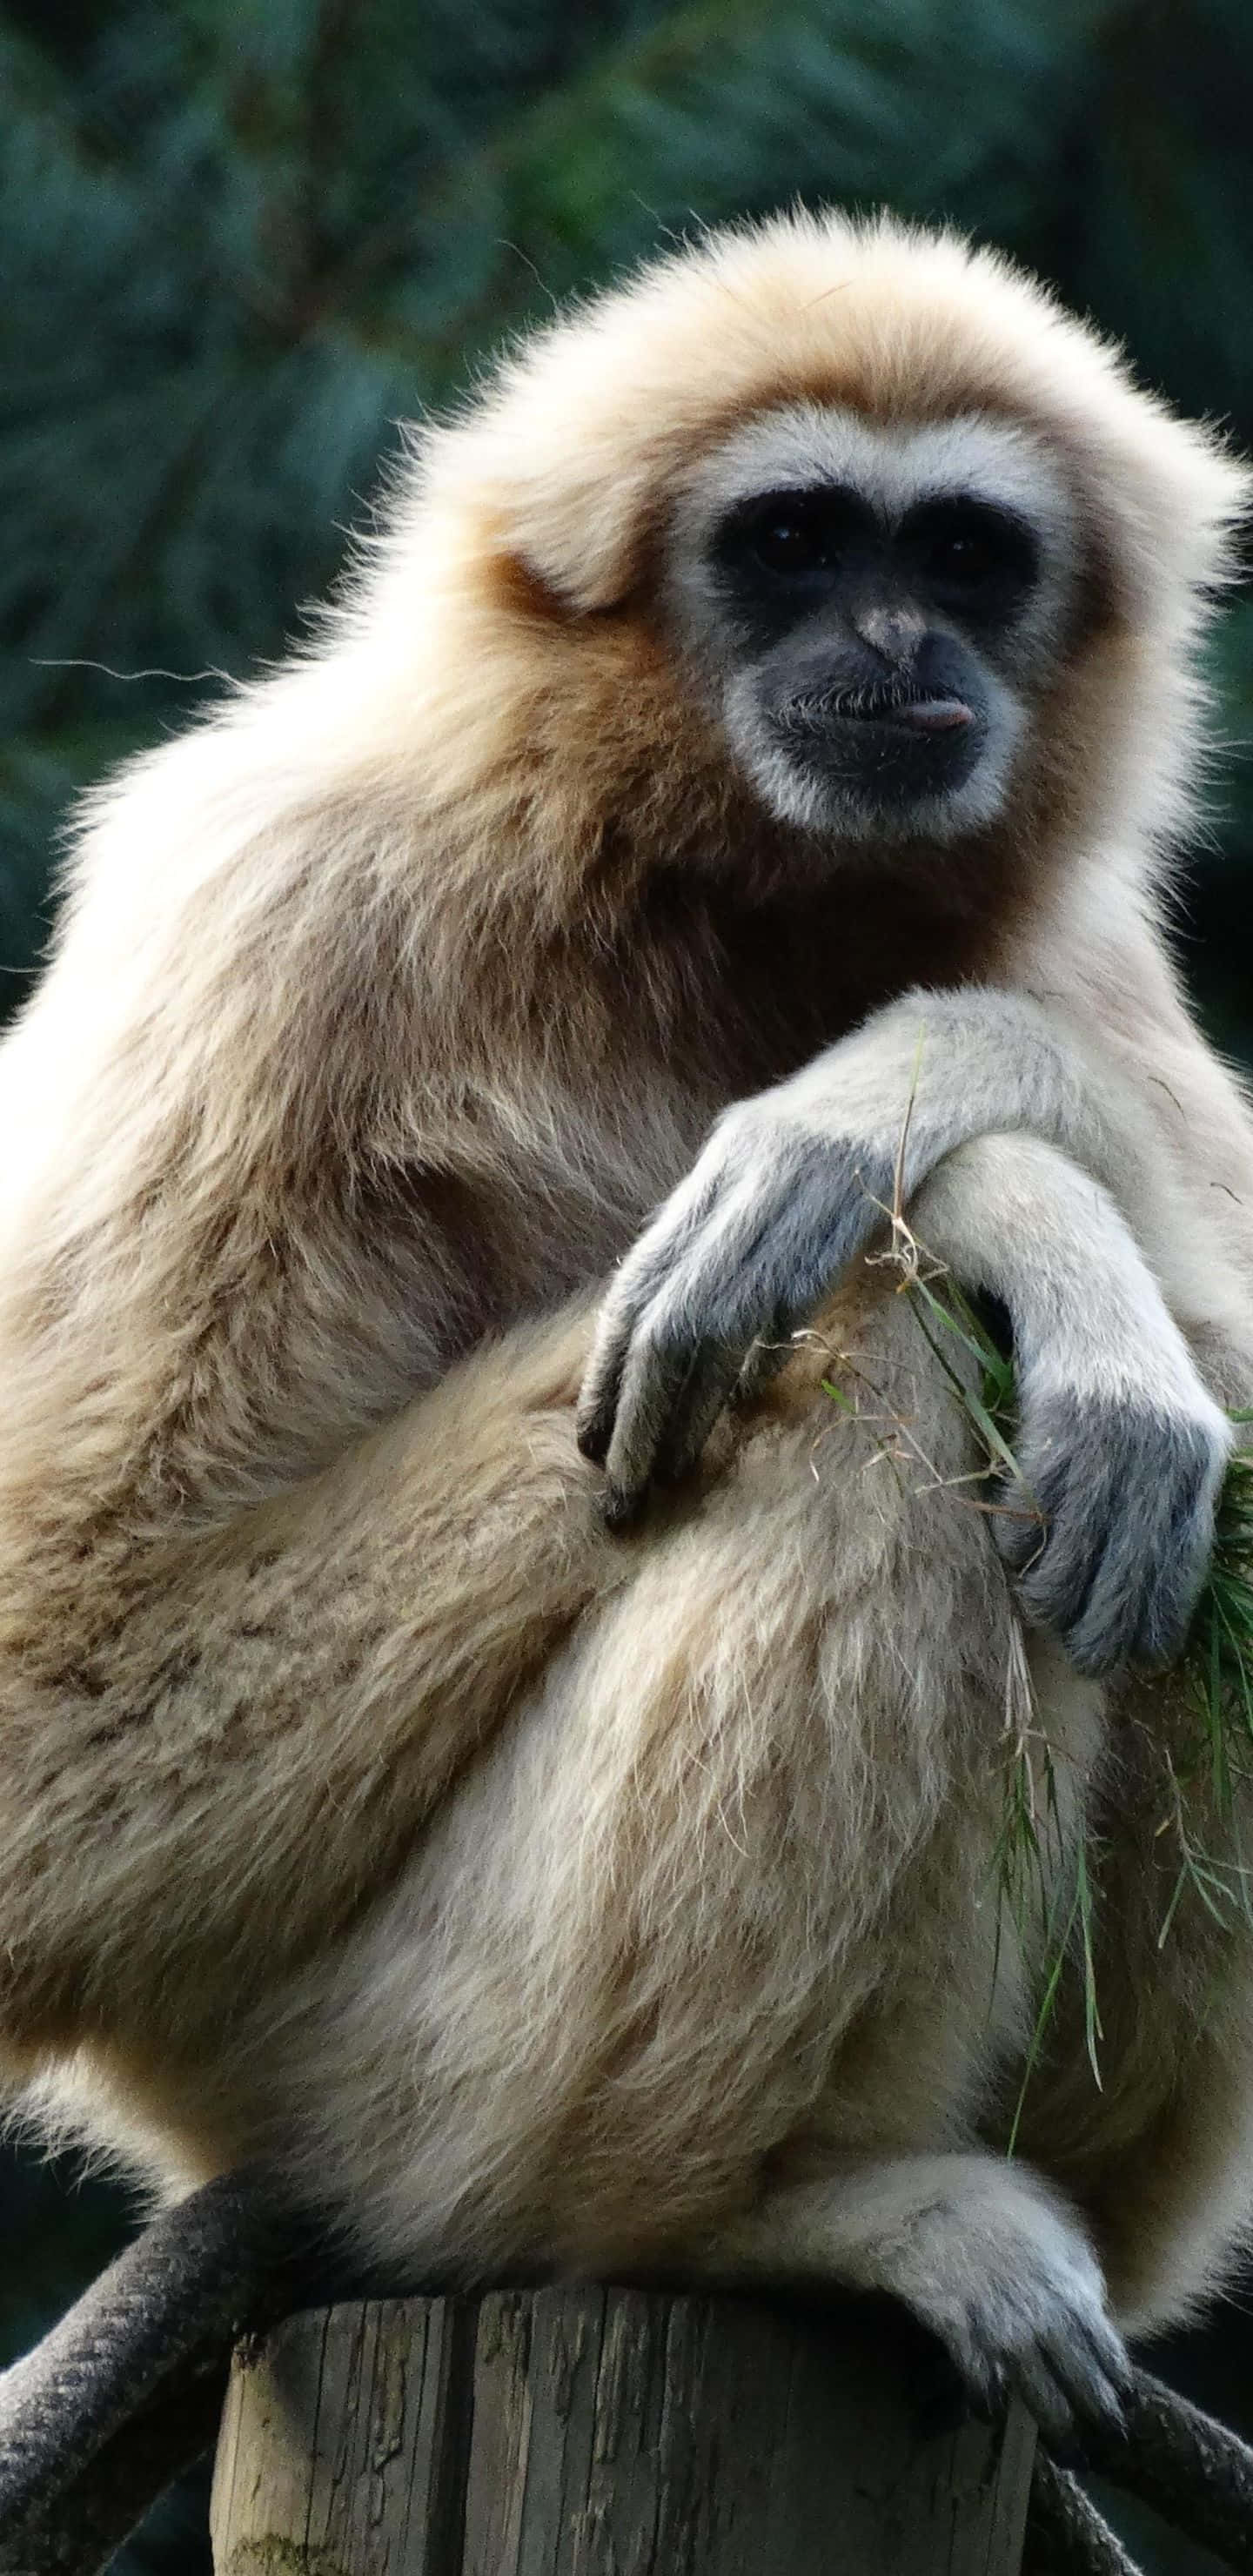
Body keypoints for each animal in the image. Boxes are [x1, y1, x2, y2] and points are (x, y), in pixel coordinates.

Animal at [1, 209, 1253, 2514]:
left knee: (1191, 1483)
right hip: (389, 2077)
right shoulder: (272, 907)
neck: (680, 890)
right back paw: (770, 2214)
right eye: (788, 539)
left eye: (962, 552)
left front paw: (926, 1094)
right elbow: (64, 1722)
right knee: (872, 1365)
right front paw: (974, 1175)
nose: (890, 635)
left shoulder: (1092, 948)